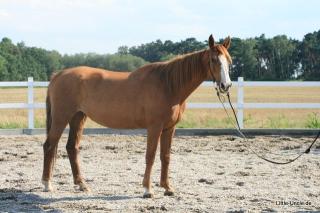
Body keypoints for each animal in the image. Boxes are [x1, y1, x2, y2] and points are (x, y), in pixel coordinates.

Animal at [42, 34, 232, 198]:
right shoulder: (154, 127)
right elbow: (151, 156)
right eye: (214, 60)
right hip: (61, 118)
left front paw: (167, 188)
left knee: (71, 148)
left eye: (229, 61)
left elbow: (165, 156)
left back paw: (82, 184)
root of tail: (58, 75)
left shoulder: (169, 128)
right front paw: (147, 190)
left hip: (78, 117)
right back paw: (47, 184)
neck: (168, 85)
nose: (226, 85)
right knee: (49, 146)